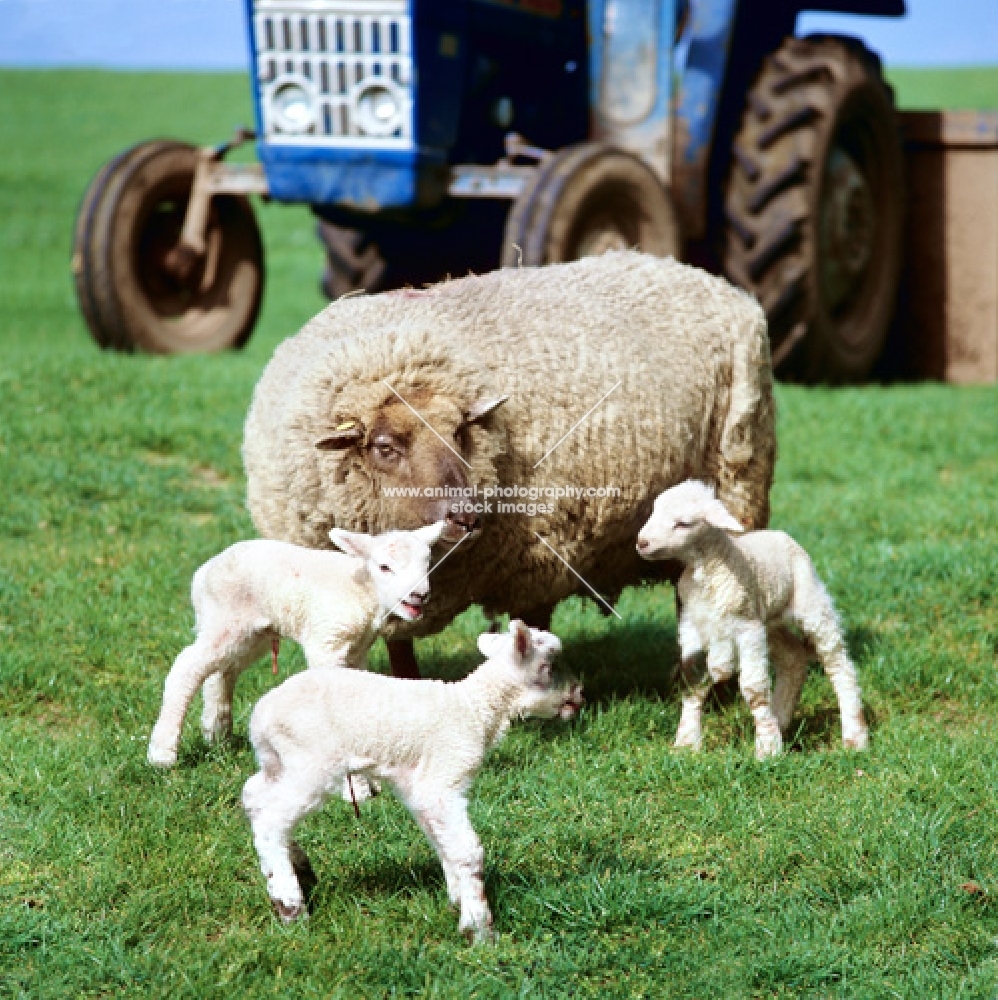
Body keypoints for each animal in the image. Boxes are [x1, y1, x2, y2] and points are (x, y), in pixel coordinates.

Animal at [148, 520, 446, 768]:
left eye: (427, 564)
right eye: (385, 567)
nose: (420, 595)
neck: (365, 592)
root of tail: (203, 572)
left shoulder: (358, 649)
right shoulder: (326, 640)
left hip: (249, 632)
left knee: (221, 673)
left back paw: (218, 736)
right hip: (225, 619)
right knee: (187, 667)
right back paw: (163, 753)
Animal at [243, 616, 584, 944]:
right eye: (549, 665)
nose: (580, 694)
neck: (475, 709)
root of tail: (260, 714)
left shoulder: (419, 790)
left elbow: (442, 842)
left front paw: (457, 900)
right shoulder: (443, 779)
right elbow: (467, 851)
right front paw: (479, 929)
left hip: (278, 761)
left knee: (254, 797)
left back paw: (299, 867)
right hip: (311, 762)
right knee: (271, 820)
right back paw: (290, 906)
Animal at [640, 482, 868, 756]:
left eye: (683, 523)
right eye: (653, 511)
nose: (641, 542)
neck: (711, 566)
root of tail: (780, 534)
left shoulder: (746, 628)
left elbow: (754, 688)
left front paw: (767, 749)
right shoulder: (692, 626)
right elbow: (693, 682)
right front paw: (686, 743)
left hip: (811, 604)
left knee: (839, 664)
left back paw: (855, 736)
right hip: (769, 620)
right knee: (793, 657)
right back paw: (780, 720)